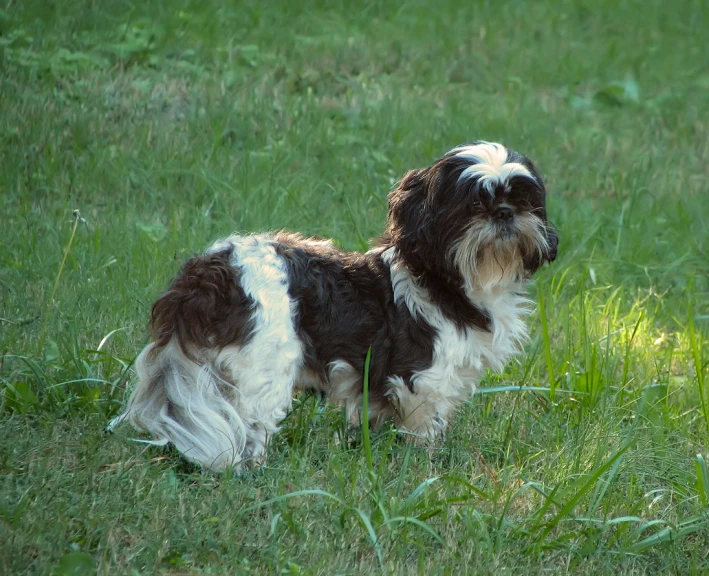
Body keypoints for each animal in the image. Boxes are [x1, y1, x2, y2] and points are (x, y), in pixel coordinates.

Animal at [106, 142, 560, 470]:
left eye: (524, 199)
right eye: (474, 203)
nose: (504, 212)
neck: (451, 280)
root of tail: (211, 272)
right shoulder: (421, 380)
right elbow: (425, 432)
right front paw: (426, 469)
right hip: (264, 365)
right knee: (250, 426)